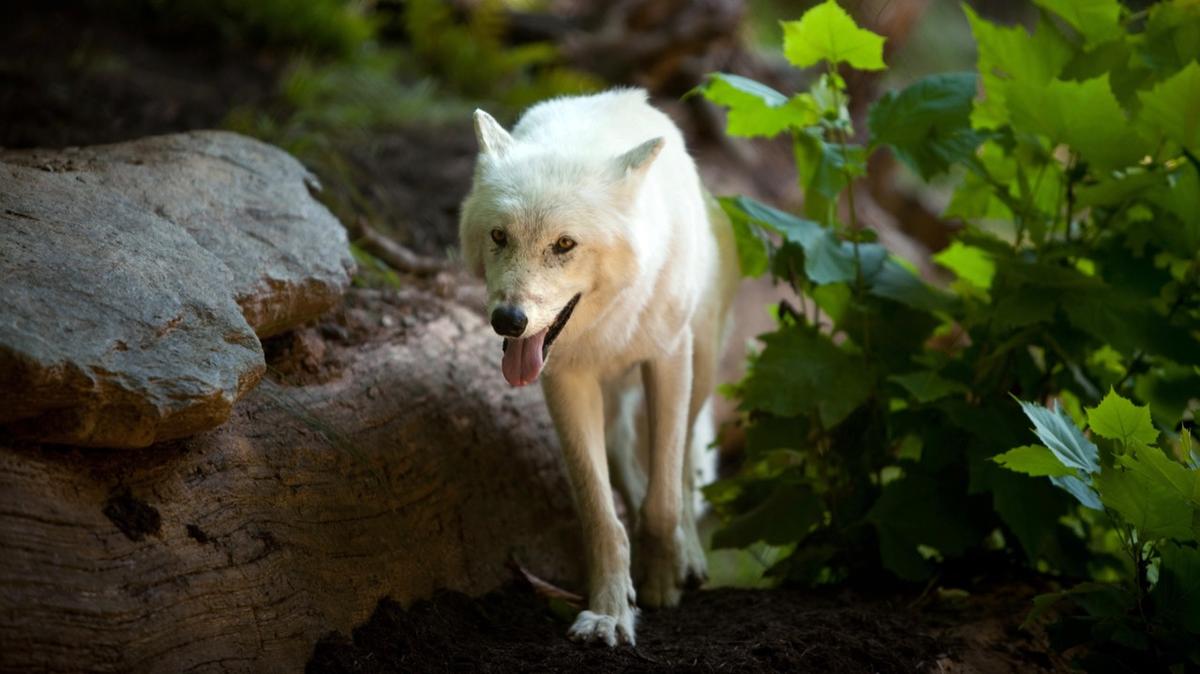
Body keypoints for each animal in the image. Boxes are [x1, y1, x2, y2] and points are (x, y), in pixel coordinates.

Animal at [458, 88, 738, 646]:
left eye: (564, 244)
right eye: (499, 236)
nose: (508, 320)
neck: (608, 323)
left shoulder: (668, 361)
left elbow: (664, 499)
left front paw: (661, 583)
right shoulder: (566, 382)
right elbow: (601, 516)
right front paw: (610, 613)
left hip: (699, 368)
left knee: (682, 470)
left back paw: (689, 557)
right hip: (611, 403)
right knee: (626, 456)